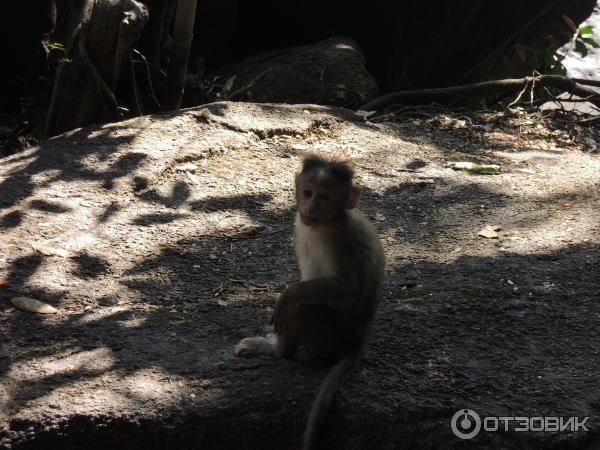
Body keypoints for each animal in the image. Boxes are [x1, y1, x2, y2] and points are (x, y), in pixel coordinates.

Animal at [234, 154, 384, 450]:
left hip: (329, 341)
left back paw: (278, 351)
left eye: (325, 197)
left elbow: (347, 288)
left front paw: (288, 294)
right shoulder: (300, 221)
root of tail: (357, 339)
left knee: (303, 307)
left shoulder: (337, 237)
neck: (330, 219)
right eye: (308, 192)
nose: (311, 206)